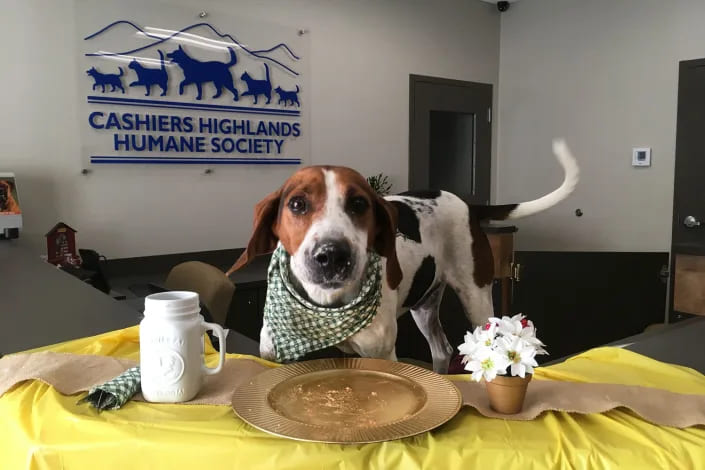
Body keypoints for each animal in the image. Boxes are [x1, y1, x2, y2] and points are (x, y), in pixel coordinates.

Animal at [227, 138, 576, 372]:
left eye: (359, 204)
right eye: (297, 204)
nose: (332, 255)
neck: (326, 306)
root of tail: (467, 204)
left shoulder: (381, 355)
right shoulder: (274, 355)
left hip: (476, 298)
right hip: (423, 304)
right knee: (442, 349)